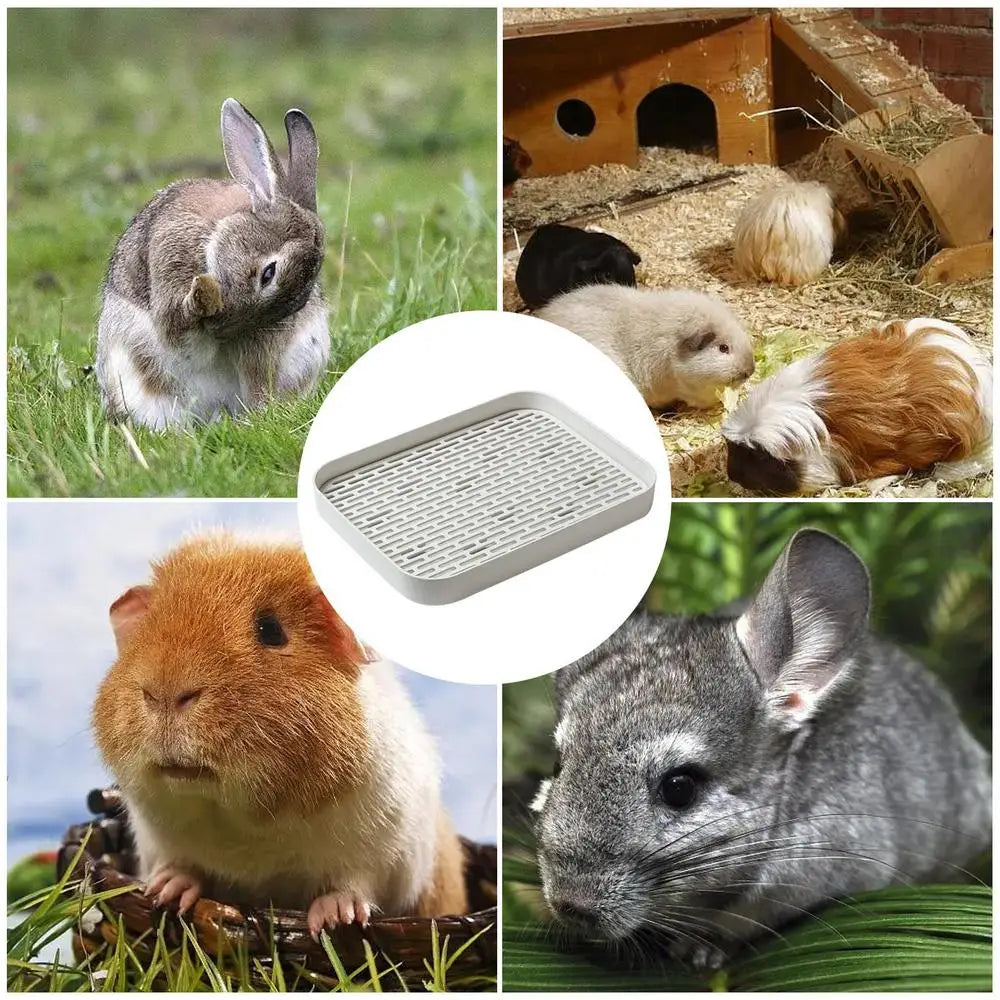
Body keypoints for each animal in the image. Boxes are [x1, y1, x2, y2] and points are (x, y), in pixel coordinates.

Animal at [92, 532, 468, 937]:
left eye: (271, 630)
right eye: (149, 627)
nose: (164, 694)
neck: (245, 824)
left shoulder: (386, 851)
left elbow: (355, 884)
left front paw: (334, 919)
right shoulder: (160, 842)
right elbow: (181, 866)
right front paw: (164, 893)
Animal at [96, 98, 329, 430]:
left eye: (297, 304)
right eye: (269, 273)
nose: (220, 329)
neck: (214, 238)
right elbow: (179, 334)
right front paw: (202, 294)